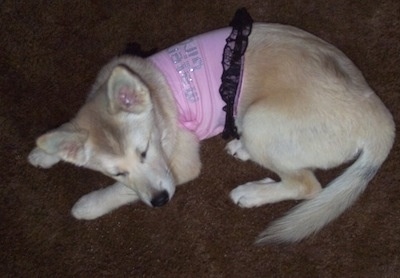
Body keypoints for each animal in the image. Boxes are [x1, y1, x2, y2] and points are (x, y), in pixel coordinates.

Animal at [27, 23, 394, 243]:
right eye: (116, 171)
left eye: (145, 150)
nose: (160, 202)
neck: (156, 101)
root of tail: (381, 119)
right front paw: (43, 153)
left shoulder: (179, 167)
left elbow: (122, 194)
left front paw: (88, 205)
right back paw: (241, 149)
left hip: (258, 119)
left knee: (307, 184)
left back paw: (251, 193)